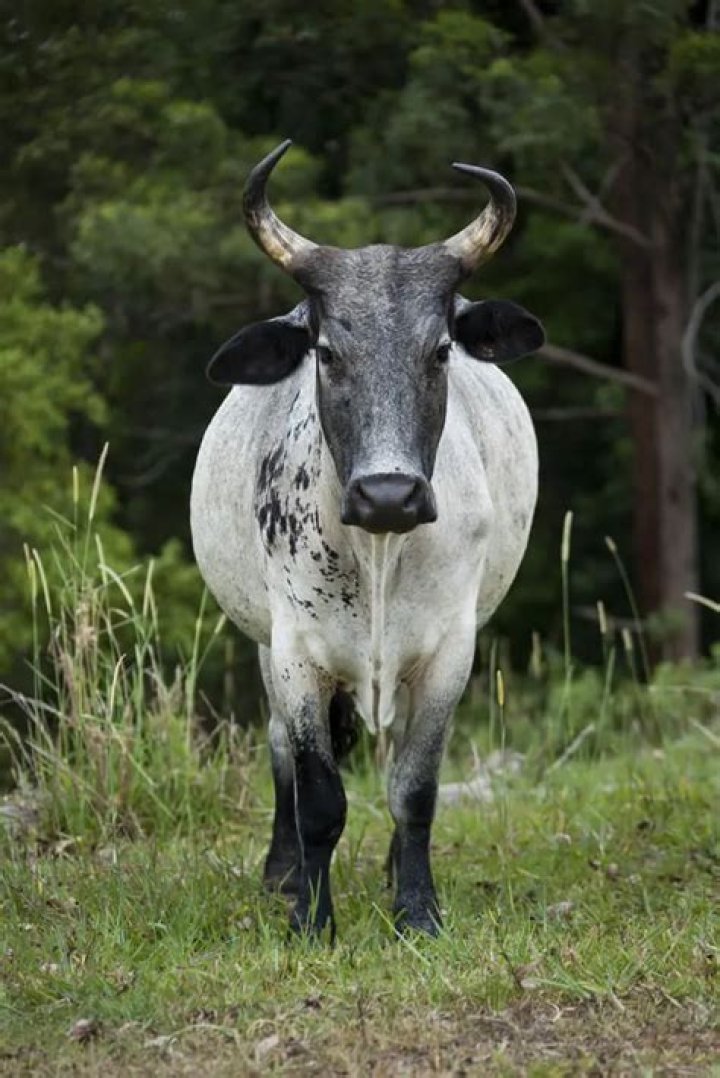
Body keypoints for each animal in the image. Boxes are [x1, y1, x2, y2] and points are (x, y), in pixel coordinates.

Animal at [191, 140, 544, 939]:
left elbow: (414, 789)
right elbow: (317, 795)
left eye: (441, 350)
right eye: (325, 352)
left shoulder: (449, 652)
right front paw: (310, 917)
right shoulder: (294, 650)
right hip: (264, 647)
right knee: (280, 751)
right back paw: (283, 872)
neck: (378, 552)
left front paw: (416, 909)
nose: (388, 494)